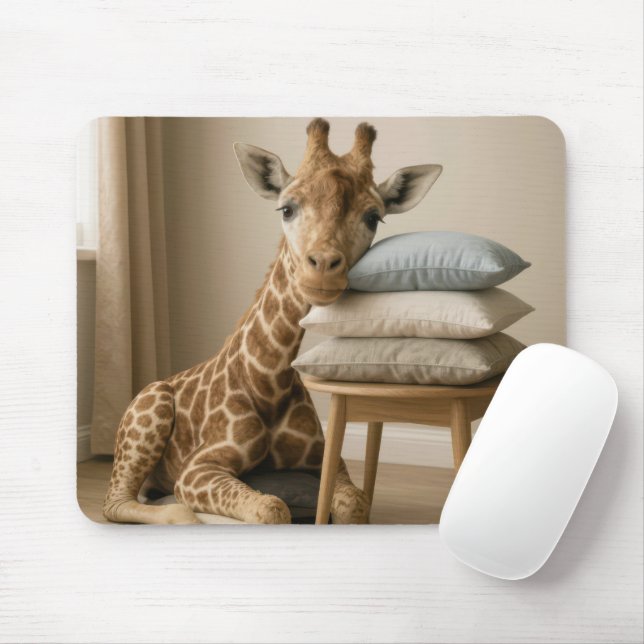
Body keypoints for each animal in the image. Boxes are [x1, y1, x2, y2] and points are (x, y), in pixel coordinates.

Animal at [103, 118, 443, 524]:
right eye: (286, 209)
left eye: (373, 217)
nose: (323, 268)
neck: (268, 383)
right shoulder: (197, 469)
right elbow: (272, 507)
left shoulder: (327, 463)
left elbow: (354, 504)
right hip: (148, 412)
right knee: (117, 503)